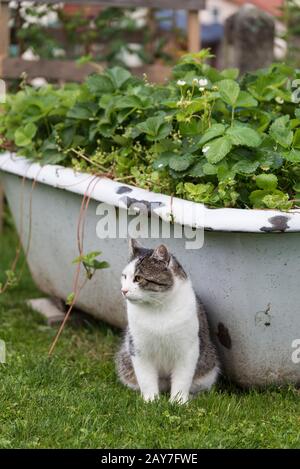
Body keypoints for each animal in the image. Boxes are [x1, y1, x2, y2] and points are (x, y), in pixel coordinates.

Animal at [116, 239, 219, 404]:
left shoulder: (188, 349)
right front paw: (151, 400)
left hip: (207, 370)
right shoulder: (138, 349)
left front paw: (178, 401)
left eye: (138, 278)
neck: (157, 308)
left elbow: (182, 379)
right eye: (124, 276)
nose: (123, 290)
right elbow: (146, 378)